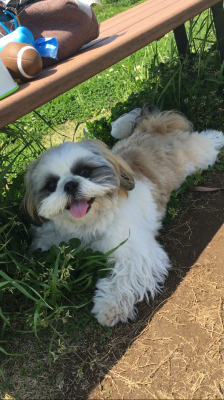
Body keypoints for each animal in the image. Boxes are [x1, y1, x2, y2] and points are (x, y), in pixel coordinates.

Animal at [23, 106, 224, 324]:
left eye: (85, 171)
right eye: (51, 185)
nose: (70, 184)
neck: (88, 223)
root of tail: (153, 126)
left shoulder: (136, 253)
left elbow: (126, 278)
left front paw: (110, 306)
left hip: (198, 156)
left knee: (203, 143)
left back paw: (216, 135)